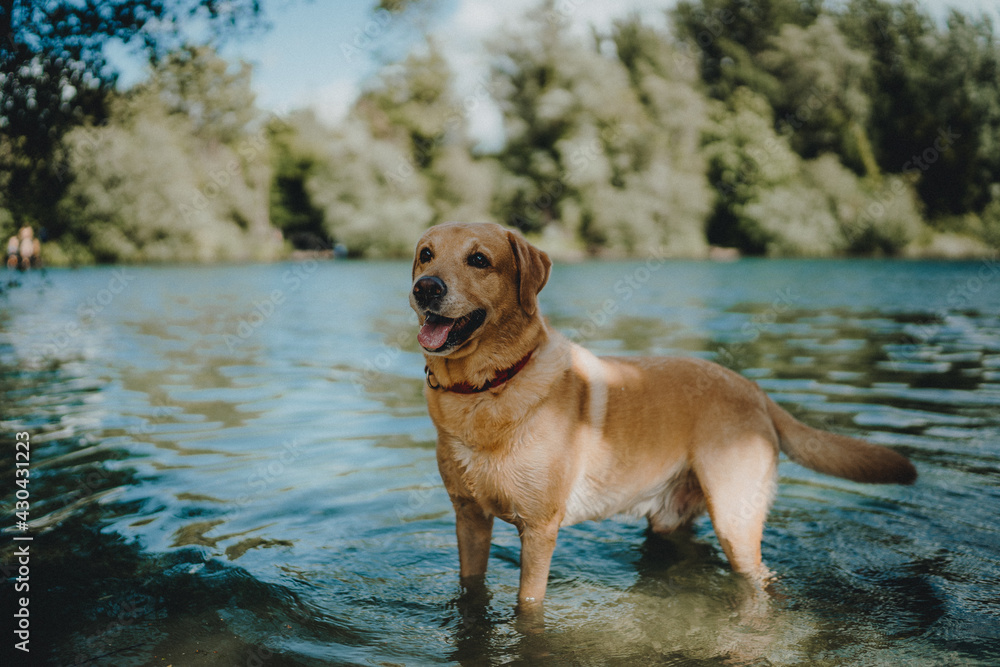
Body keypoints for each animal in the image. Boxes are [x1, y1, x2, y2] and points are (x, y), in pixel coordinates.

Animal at [410, 222, 916, 608]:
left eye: (479, 259)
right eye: (425, 255)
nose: (425, 288)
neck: (483, 391)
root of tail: (753, 390)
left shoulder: (539, 531)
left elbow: (527, 603)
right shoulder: (469, 519)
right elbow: (471, 585)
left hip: (736, 523)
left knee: (760, 577)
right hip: (671, 520)